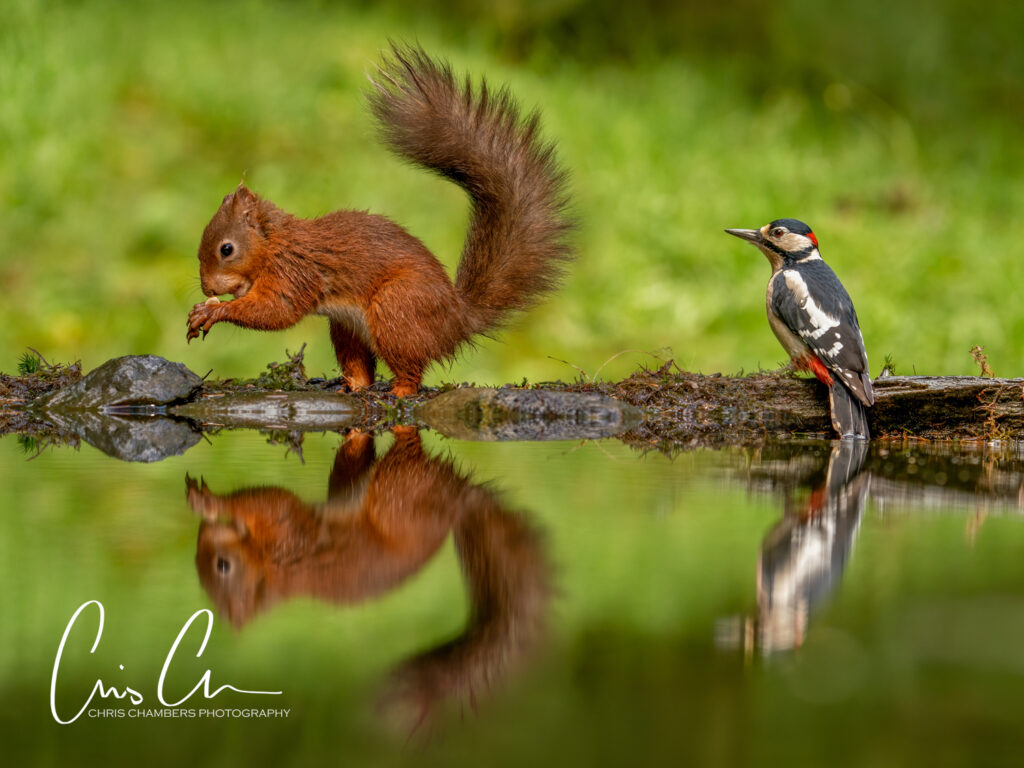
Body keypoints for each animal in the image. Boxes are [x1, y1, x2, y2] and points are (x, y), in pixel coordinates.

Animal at [186, 44, 574, 397]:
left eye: (226, 249)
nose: (207, 288)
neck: (275, 245)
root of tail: (456, 320)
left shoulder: (294, 272)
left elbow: (277, 311)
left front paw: (215, 311)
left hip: (396, 310)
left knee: (411, 368)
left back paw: (399, 390)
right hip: (346, 327)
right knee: (361, 364)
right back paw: (351, 386)